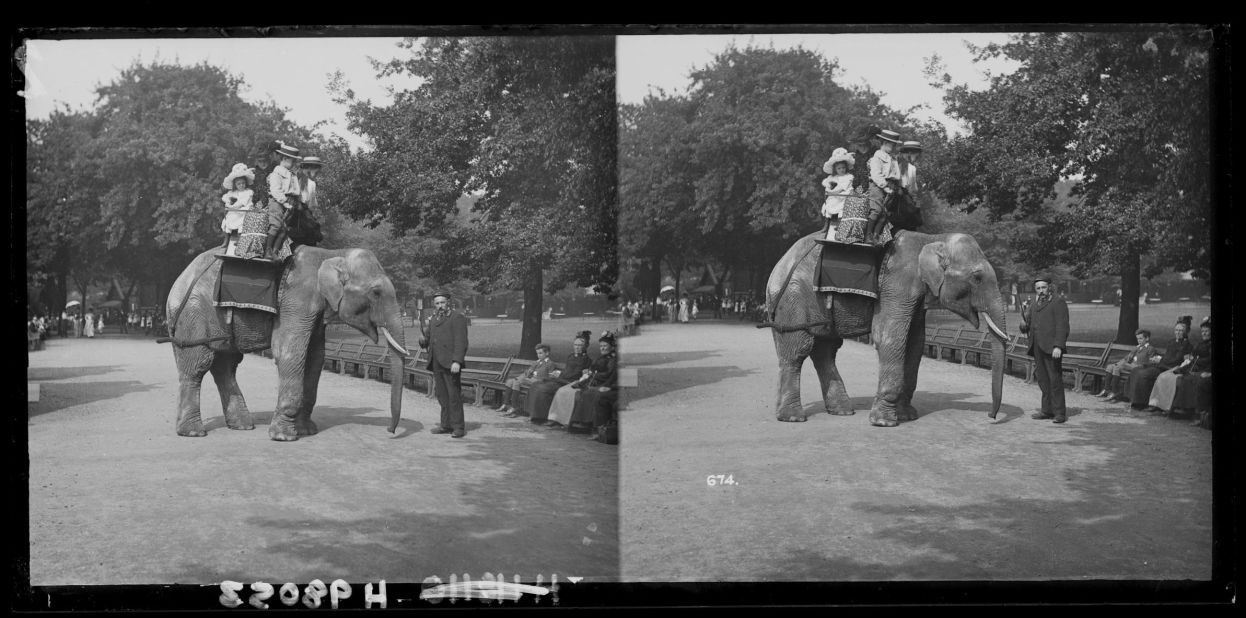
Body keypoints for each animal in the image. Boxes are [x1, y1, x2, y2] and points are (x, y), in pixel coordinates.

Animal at [163, 245, 408, 438]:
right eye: (376, 293)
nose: (390, 431)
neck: (332, 254)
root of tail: (178, 280)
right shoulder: (297, 299)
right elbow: (290, 352)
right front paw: (284, 436)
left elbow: (315, 358)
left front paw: (307, 430)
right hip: (193, 314)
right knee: (198, 364)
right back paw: (193, 432)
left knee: (226, 364)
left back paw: (243, 426)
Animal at [757, 229, 1011, 426]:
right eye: (977, 278)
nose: (991, 417)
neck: (932, 238)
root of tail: (779, 265)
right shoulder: (897, 284)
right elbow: (891, 336)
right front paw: (884, 422)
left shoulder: (915, 294)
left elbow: (915, 342)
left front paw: (907, 416)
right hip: (792, 298)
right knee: (798, 349)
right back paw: (793, 417)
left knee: (825, 350)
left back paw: (842, 411)